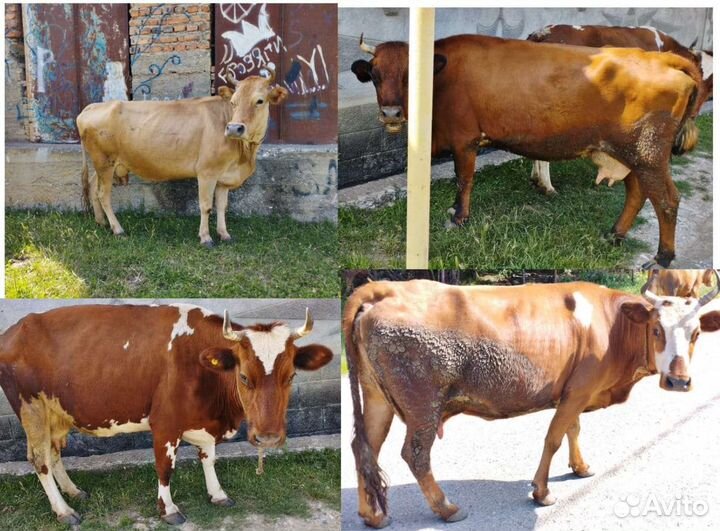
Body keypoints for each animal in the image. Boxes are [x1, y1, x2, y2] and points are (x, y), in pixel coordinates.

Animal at [0, 304, 333, 525]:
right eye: (244, 377)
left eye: (290, 376)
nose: (268, 437)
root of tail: (15, 328)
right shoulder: (165, 424)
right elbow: (164, 468)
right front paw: (168, 510)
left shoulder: (204, 423)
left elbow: (208, 458)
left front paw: (217, 493)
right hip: (32, 409)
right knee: (40, 459)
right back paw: (64, 511)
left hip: (57, 413)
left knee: (54, 452)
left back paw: (73, 492)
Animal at [77, 68, 288, 247]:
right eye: (233, 102)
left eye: (260, 101)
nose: (234, 128)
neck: (244, 154)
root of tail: (91, 107)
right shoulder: (207, 172)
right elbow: (206, 206)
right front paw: (205, 238)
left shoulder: (224, 177)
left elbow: (221, 206)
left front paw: (224, 234)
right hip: (105, 162)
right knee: (103, 194)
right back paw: (117, 229)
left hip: (104, 164)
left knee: (94, 188)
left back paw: (101, 222)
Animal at [344, 272, 720, 527]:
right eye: (657, 330)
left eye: (696, 334)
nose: (678, 381)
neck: (612, 324)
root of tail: (388, 287)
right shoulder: (579, 390)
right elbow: (554, 436)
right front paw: (541, 492)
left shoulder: (575, 390)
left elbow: (573, 429)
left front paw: (581, 466)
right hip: (422, 401)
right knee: (415, 454)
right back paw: (446, 508)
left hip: (377, 397)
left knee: (365, 448)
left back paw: (371, 515)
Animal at [351, 34, 701, 267]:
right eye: (375, 76)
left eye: (410, 76)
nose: (391, 114)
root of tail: (661, 58)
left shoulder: (465, 139)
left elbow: (464, 179)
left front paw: (459, 217)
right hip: (627, 153)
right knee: (637, 193)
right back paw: (614, 234)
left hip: (648, 153)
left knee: (667, 200)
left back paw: (663, 258)